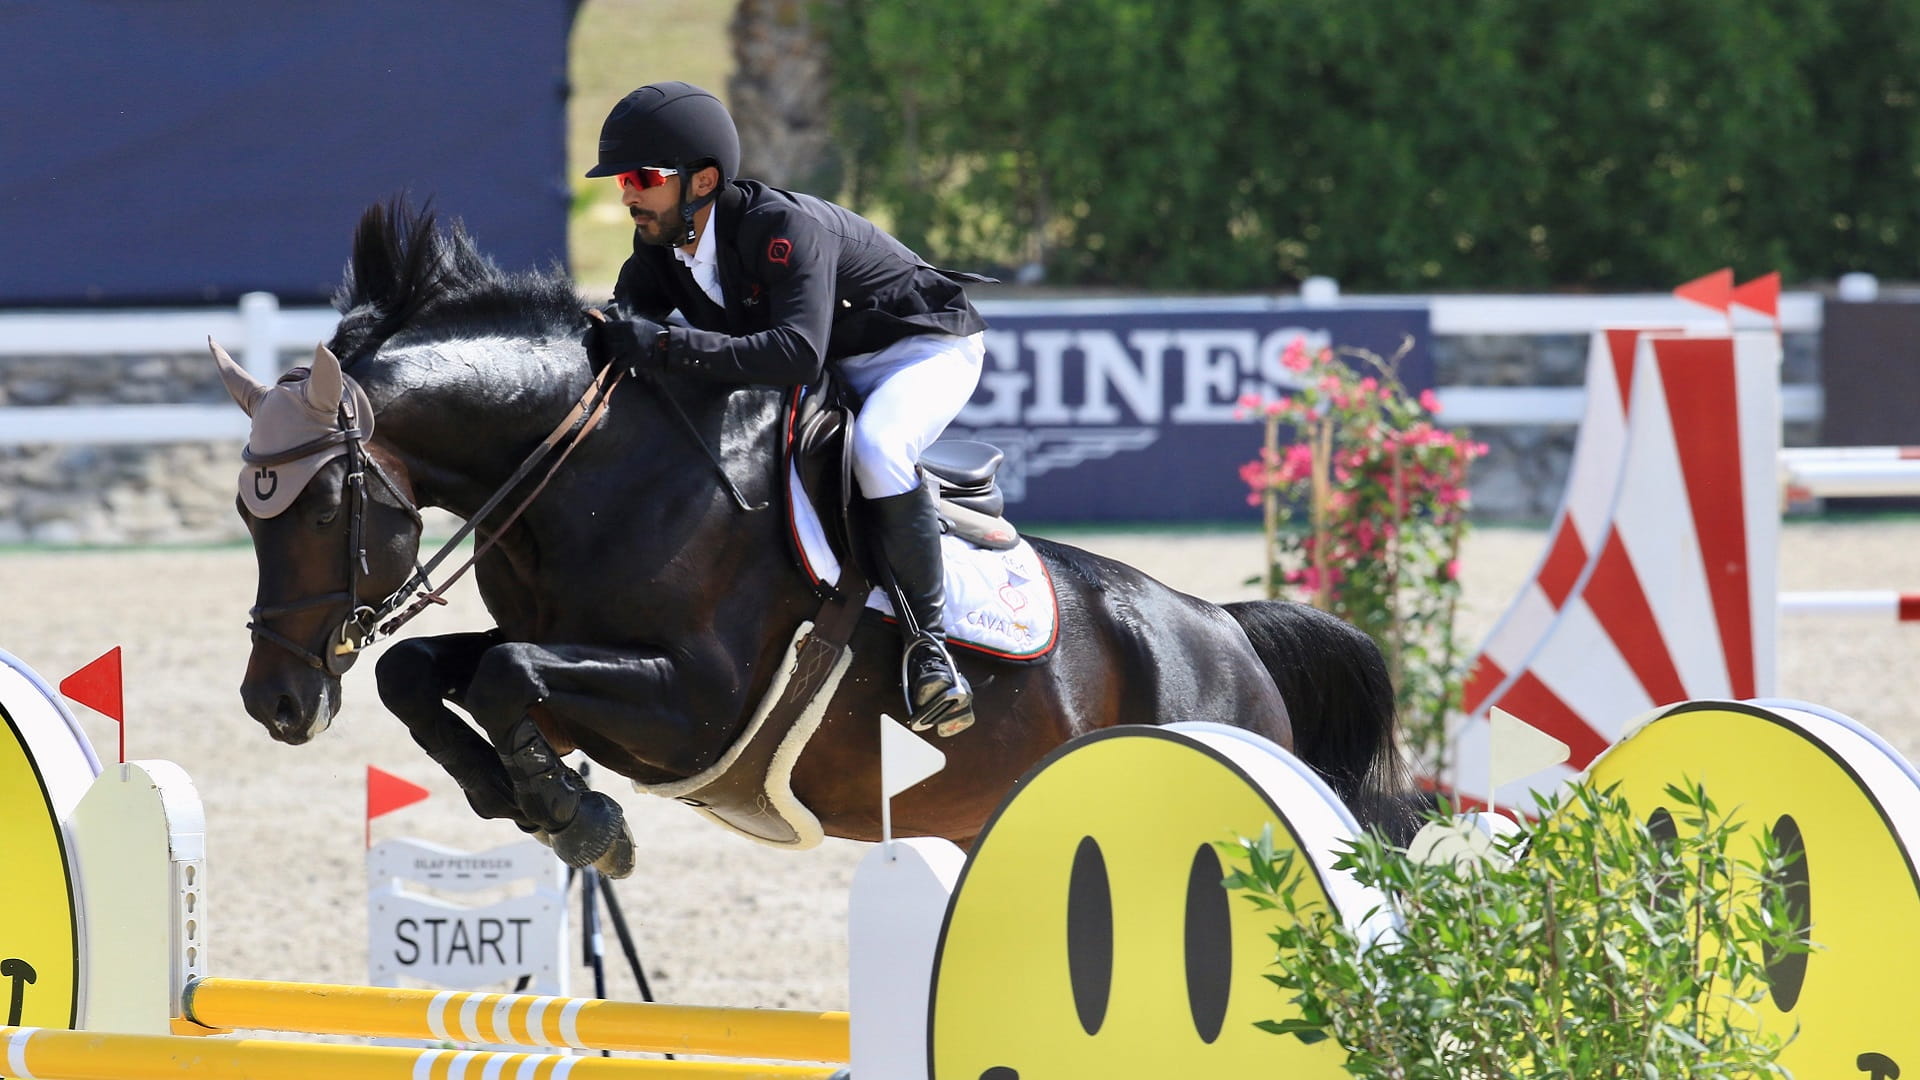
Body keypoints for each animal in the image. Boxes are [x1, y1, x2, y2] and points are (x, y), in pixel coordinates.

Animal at [220, 201, 1428, 876]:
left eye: (319, 508)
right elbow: (429, 675)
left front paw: (580, 820)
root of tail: (1224, 631)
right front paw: (526, 803)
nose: (274, 704)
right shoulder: (569, 655)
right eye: (246, 511)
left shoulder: (695, 703)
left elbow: (508, 675)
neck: (595, 475)